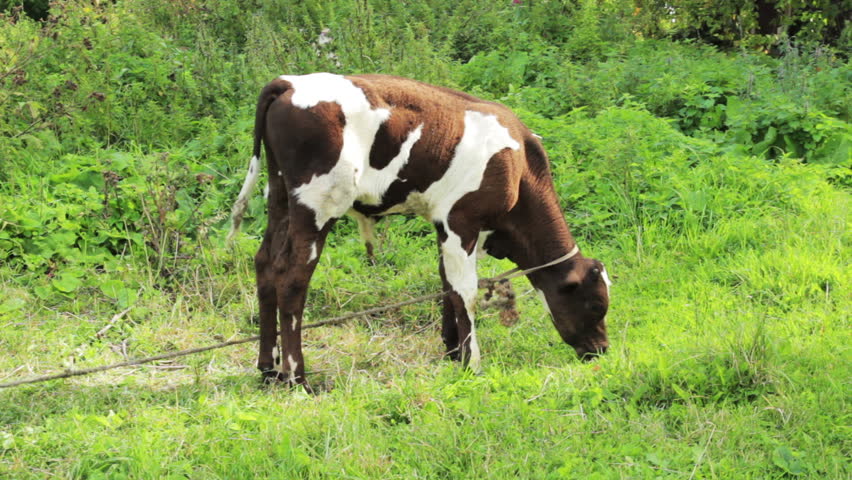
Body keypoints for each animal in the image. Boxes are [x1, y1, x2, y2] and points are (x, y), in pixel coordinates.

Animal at [230, 73, 608, 388]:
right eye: (595, 305)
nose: (601, 350)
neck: (521, 170)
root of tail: (289, 83)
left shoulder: (445, 225)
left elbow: (446, 285)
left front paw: (452, 352)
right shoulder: (461, 221)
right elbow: (466, 292)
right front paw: (472, 364)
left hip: (279, 195)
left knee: (266, 264)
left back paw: (268, 370)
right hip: (318, 207)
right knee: (292, 279)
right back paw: (298, 378)